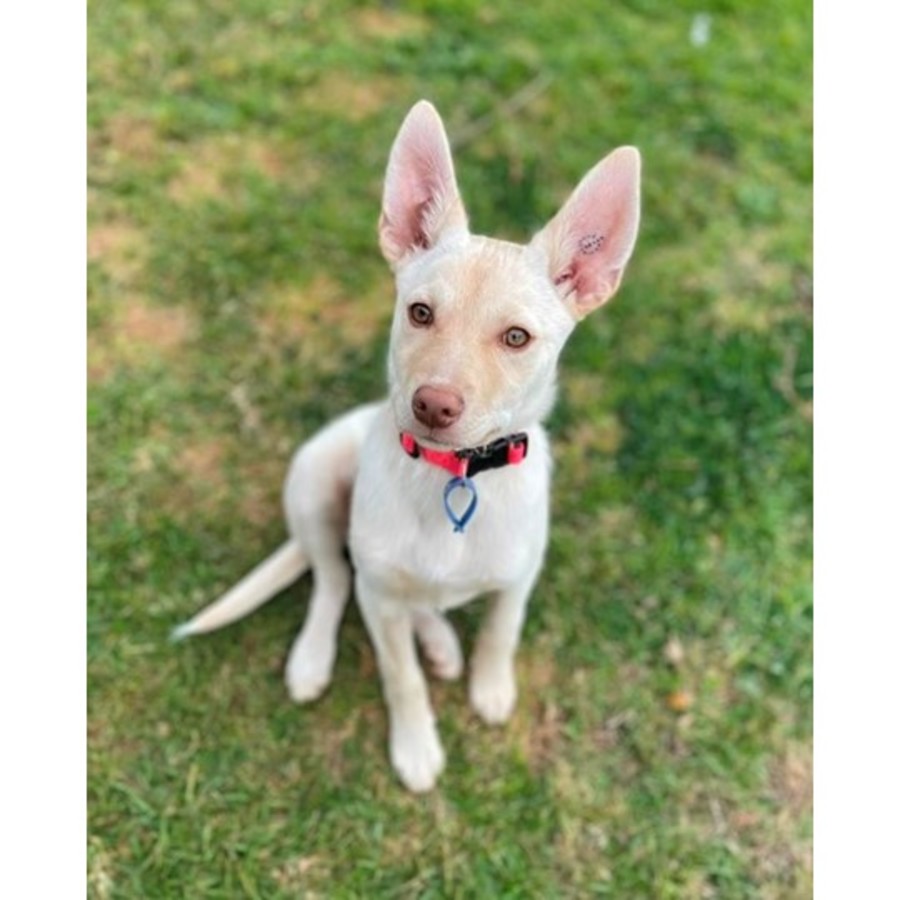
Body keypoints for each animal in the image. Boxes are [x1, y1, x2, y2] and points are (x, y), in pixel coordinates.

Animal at [174, 101, 641, 792]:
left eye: (517, 337)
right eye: (420, 313)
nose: (433, 405)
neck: (456, 476)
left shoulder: (519, 577)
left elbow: (502, 631)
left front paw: (491, 688)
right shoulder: (382, 605)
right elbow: (402, 679)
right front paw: (416, 748)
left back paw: (442, 642)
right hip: (316, 482)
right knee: (335, 576)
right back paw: (315, 657)